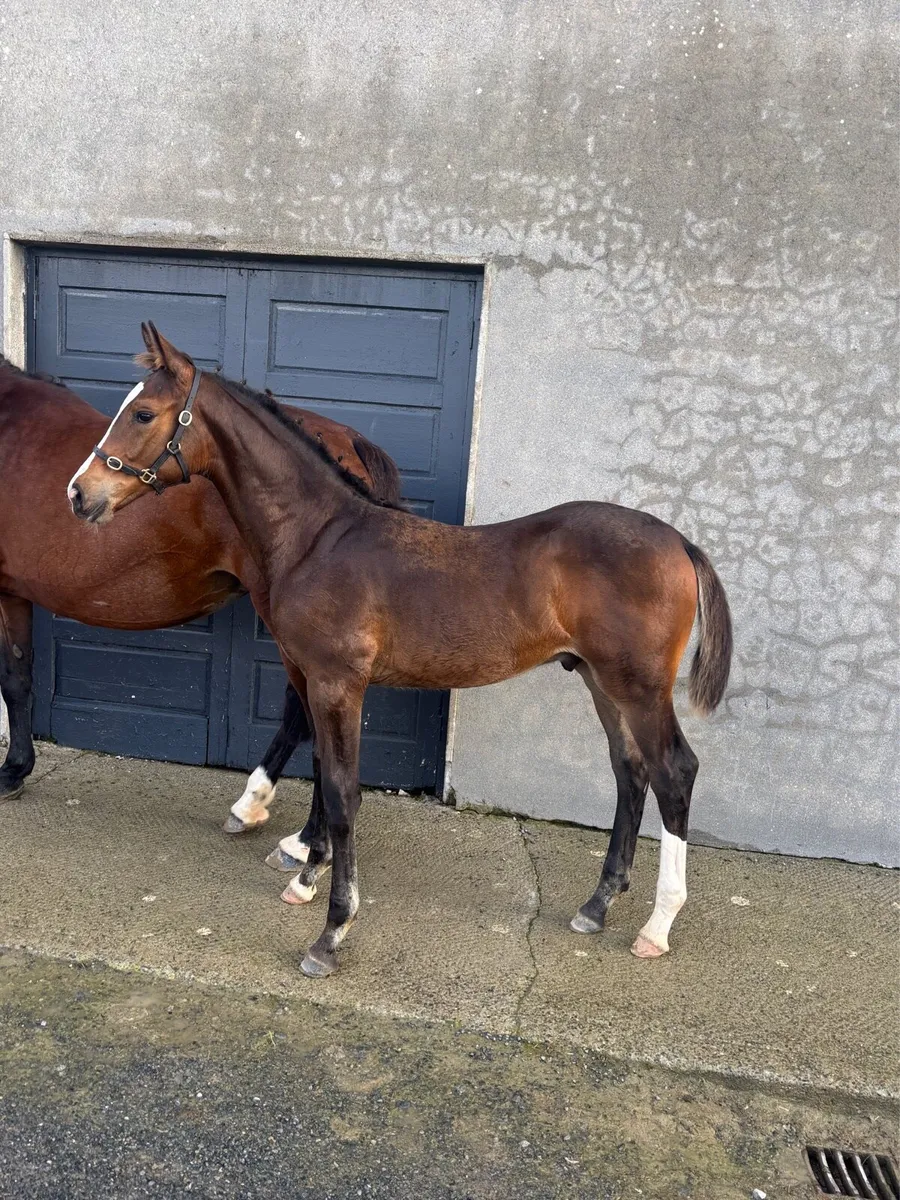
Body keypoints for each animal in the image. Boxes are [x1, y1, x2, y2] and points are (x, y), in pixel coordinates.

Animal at [0, 356, 402, 875]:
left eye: (144, 414)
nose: (77, 494)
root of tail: (348, 443)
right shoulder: (13, 591)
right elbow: (19, 675)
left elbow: (11, 680)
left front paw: (11, 771)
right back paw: (256, 807)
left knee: (312, 719)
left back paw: (304, 843)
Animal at [69, 323, 733, 980]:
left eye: (144, 412)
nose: (80, 494)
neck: (317, 538)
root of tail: (679, 542)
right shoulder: (308, 677)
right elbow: (321, 768)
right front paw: (306, 875)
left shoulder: (338, 683)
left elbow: (344, 793)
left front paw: (331, 933)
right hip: (599, 679)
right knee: (630, 771)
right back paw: (596, 905)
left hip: (638, 686)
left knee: (674, 771)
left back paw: (656, 926)